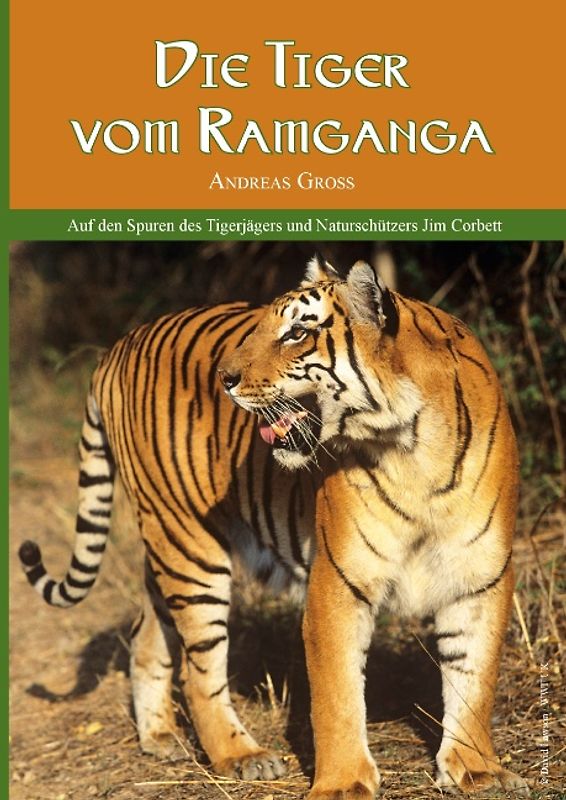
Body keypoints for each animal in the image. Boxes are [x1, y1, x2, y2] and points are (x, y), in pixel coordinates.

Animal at [18, 255, 528, 799]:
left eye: (296, 333)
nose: (225, 378)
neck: (411, 447)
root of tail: (117, 347)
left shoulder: (481, 577)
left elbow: (473, 678)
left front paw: (476, 769)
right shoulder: (337, 581)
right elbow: (337, 694)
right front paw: (343, 783)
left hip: (168, 543)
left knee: (146, 633)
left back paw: (160, 737)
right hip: (190, 546)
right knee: (199, 671)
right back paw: (241, 755)